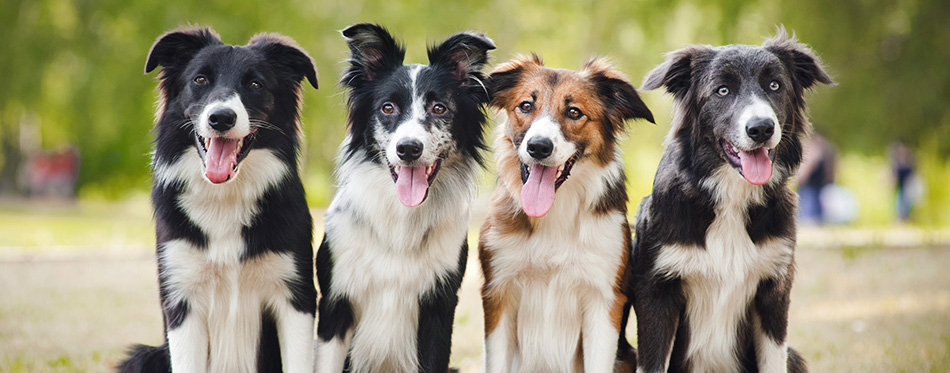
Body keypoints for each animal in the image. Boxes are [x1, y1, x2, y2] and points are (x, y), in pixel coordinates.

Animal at [117, 26, 320, 372]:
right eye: (200, 80)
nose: (221, 118)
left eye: (255, 84)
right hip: (144, 355)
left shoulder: (295, 297)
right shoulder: (182, 301)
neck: (225, 197)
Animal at [316, 24, 498, 372]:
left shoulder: (439, 307)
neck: (400, 220)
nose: (408, 149)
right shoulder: (335, 305)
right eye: (388, 108)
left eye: (439, 108)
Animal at [480, 54, 660, 372]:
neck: (555, 212)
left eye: (574, 112)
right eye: (525, 106)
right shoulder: (498, 295)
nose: (538, 147)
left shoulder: (603, 302)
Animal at [632, 29, 832, 372]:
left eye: (775, 85)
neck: (730, 197)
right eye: (722, 90)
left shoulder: (774, 292)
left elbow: (773, 361)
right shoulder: (655, 291)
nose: (761, 128)